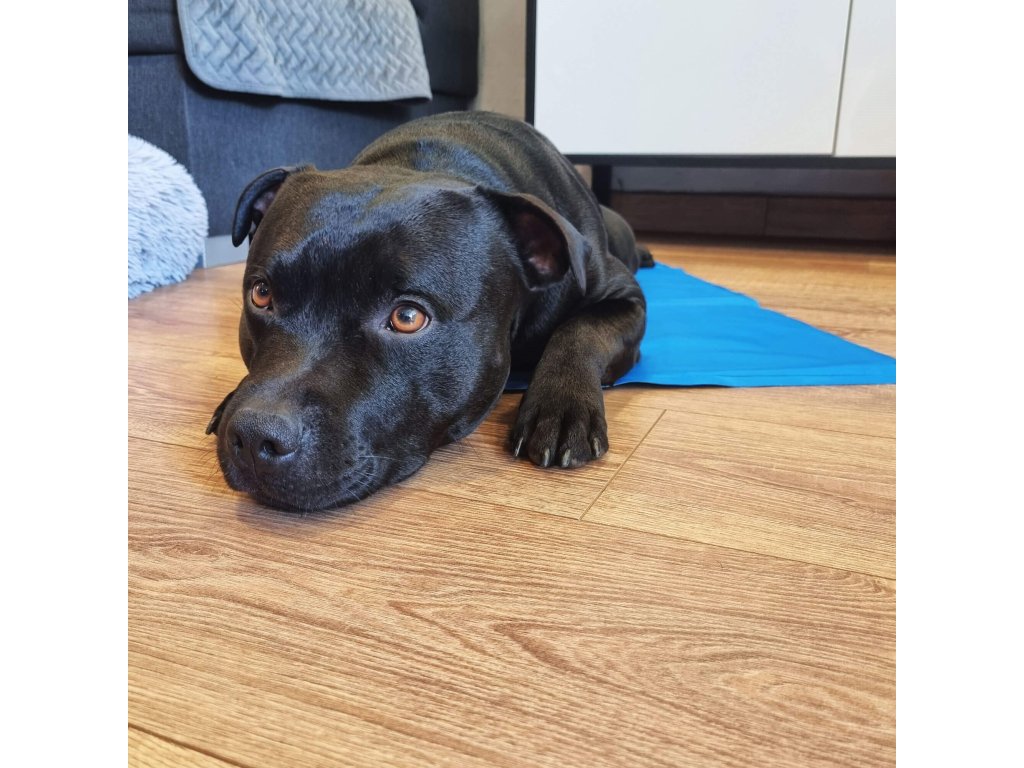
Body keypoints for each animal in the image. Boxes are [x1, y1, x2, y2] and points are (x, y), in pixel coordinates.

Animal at [207, 111, 651, 511]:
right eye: (261, 294)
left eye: (407, 318)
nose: (254, 436)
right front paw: (231, 398)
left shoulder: (625, 296)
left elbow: (581, 332)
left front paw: (562, 404)